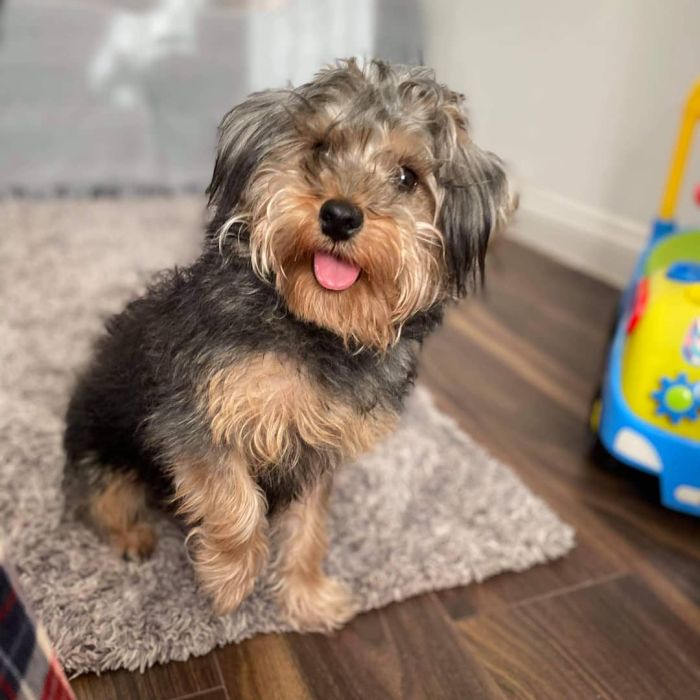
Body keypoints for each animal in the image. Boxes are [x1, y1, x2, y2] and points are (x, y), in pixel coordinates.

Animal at [64, 57, 516, 632]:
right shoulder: (195, 416)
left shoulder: (319, 448)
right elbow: (237, 503)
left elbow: (309, 528)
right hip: (106, 453)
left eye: (407, 177)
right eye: (319, 149)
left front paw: (307, 597)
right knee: (97, 502)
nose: (340, 215)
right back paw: (131, 536)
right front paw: (230, 580)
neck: (317, 326)